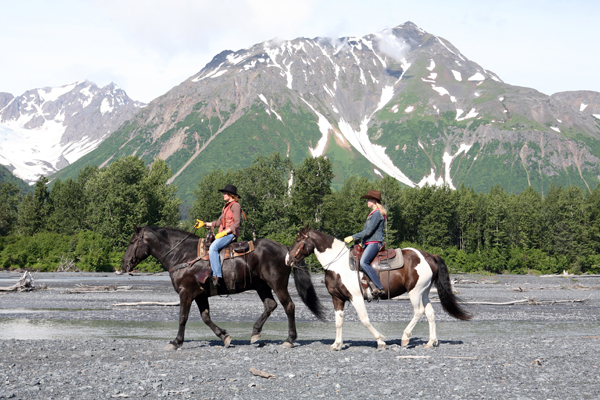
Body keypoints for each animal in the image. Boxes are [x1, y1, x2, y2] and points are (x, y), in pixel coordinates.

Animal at [120, 227, 324, 348]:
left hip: (277, 284)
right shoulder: (200, 295)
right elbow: (205, 317)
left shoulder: (186, 293)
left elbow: (183, 318)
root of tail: (286, 250)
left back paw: (289, 339)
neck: (183, 255)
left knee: (289, 306)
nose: (123, 265)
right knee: (270, 305)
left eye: (132, 242)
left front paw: (176, 341)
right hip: (262, 286)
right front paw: (224, 336)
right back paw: (255, 333)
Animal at [284, 227, 472, 352]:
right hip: (424, 291)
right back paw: (431, 342)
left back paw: (405, 337)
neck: (338, 265)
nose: (287, 259)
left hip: (415, 292)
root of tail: (429, 256)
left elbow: (365, 320)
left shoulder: (356, 297)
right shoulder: (337, 298)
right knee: (430, 313)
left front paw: (380, 341)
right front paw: (336, 345)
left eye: (298, 240)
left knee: (418, 312)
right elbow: (338, 321)